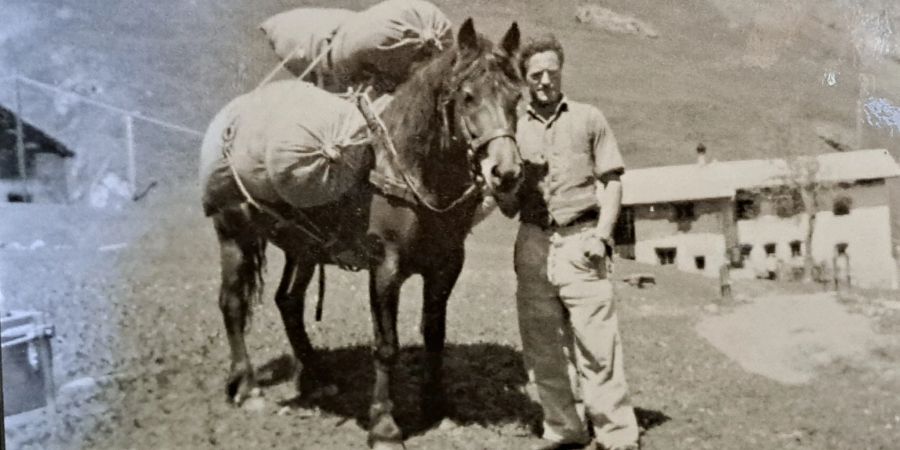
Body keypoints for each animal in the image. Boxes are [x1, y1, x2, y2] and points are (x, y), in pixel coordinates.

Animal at [197, 19, 520, 448]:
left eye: (516, 98)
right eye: (467, 97)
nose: (507, 172)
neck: (409, 168)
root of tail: (231, 122)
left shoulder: (447, 265)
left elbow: (435, 334)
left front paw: (437, 406)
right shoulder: (385, 267)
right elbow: (386, 346)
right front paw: (384, 425)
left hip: (303, 246)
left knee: (288, 301)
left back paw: (318, 375)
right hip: (234, 232)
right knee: (232, 303)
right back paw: (248, 388)